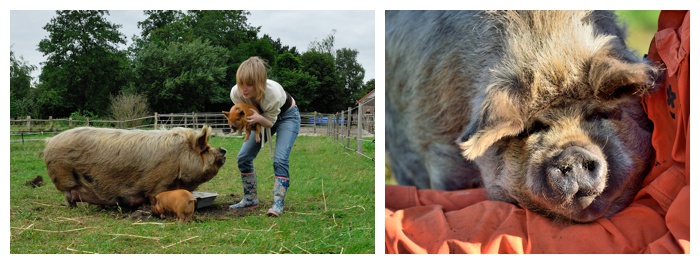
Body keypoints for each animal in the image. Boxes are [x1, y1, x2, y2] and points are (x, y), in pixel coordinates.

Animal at [41, 125, 227, 207]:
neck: (180, 158)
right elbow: (155, 196)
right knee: (68, 195)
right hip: (64, 177)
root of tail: (50, 141)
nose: (223, 149)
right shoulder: (159, 183)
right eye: (206, 149)